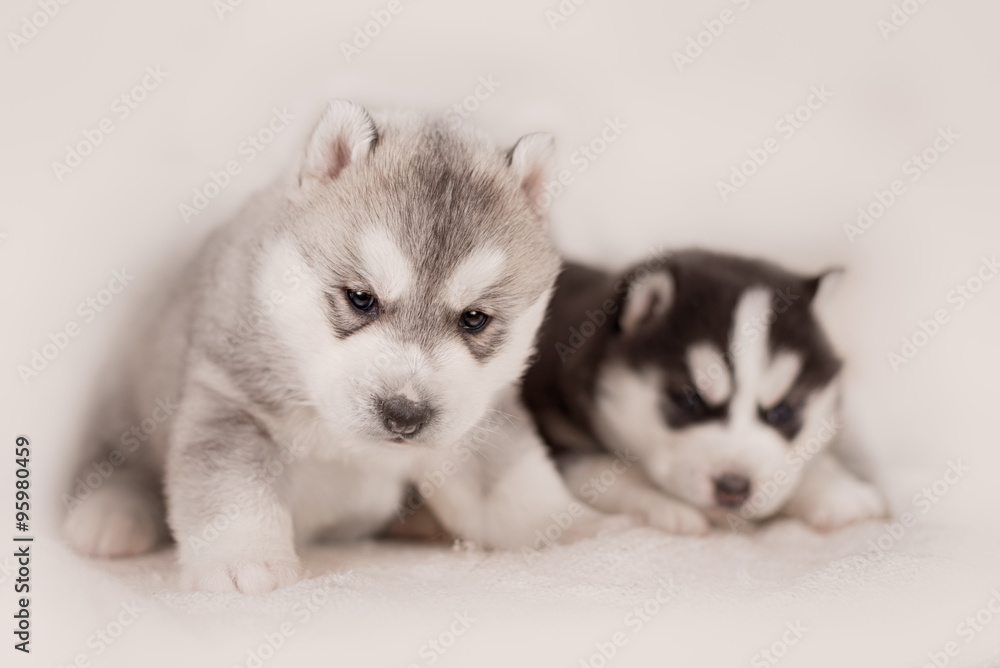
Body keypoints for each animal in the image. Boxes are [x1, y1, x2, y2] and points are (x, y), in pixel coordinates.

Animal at [66, 102, 608, 592]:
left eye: (474, 319)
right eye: (361, 298)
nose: (404, 414)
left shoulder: (479, 419)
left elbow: (510, 487)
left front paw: (574, 528)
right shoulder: (231, 401)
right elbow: (235, 492)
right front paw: (245, 564)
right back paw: (110, 514)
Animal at [520, 248, 888, 536]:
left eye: (783, 410)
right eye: (690, 401)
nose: (734, 488)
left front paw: (836, 490)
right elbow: (597, 468)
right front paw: (663, 505)